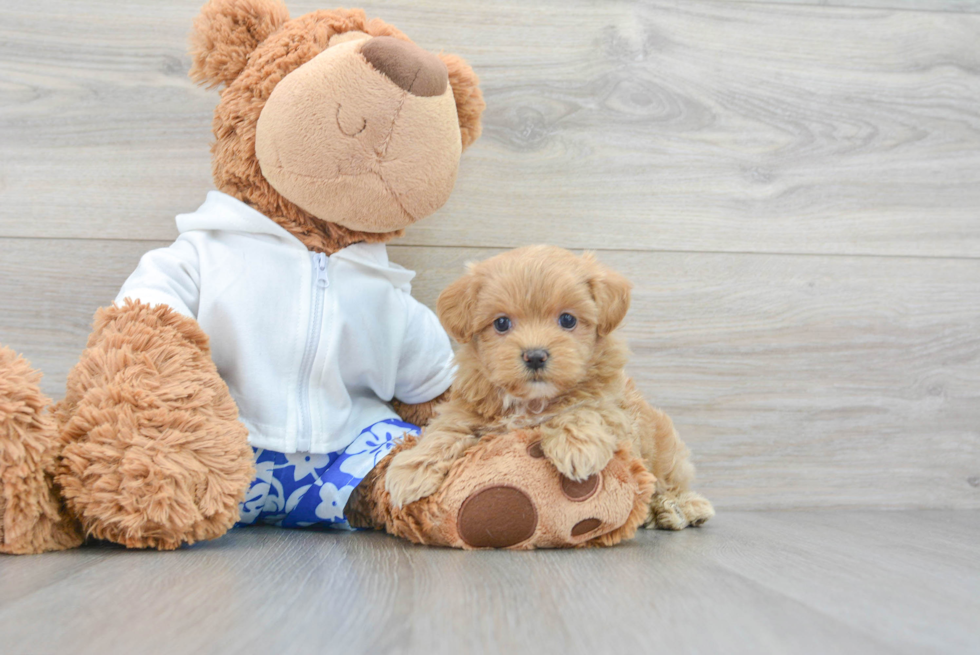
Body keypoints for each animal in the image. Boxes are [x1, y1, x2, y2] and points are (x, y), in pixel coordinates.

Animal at [386, 243, 716, 532]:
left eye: (567, 319)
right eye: (502, 323)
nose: (535, 356)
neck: (532, 401)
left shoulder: (614, 408)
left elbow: (586, 408)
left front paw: (575, 448)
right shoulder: (467, 409)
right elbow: (443, 432)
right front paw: (410, 470)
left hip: (665, 449)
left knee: (671, 482)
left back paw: (681, 508)